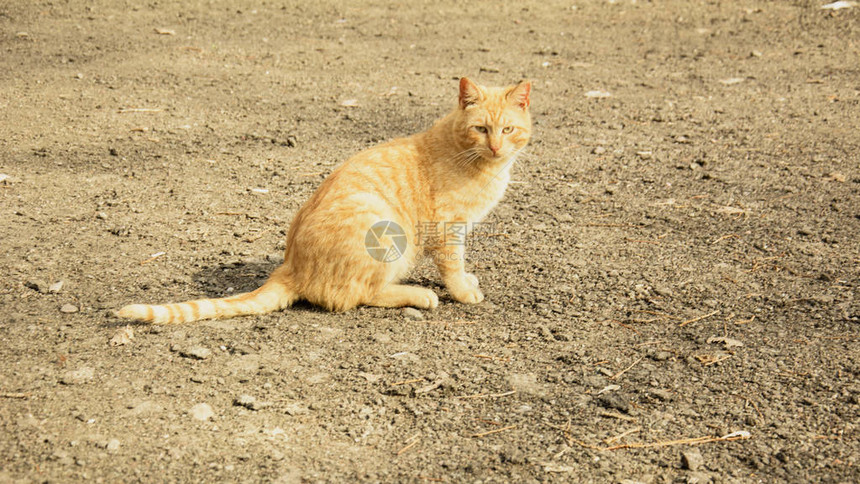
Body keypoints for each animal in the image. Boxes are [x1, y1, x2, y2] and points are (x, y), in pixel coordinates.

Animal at [116, 77, 528, 324]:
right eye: (481, 129)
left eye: (508, 129)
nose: (495, 147)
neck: (476, 160)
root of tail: (289, 266)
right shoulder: (446, 227)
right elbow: (453, 266)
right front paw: (463, 291)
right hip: (384, 228)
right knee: (357, 295)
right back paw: (419, 295)